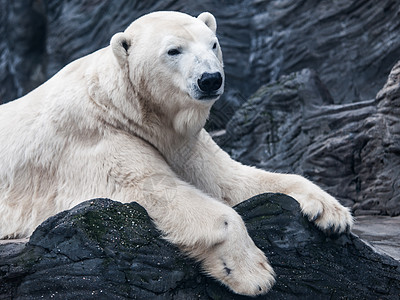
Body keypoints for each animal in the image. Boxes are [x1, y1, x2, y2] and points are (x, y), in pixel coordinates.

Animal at [0, 11, 352, 296]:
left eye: (213, 44)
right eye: (173, 50)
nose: (210, 79)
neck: (120, 104)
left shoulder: (182, 142)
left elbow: (229, 179)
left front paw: (330, 212)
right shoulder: (94, 136)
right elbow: (150, 188)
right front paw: (254, 273)